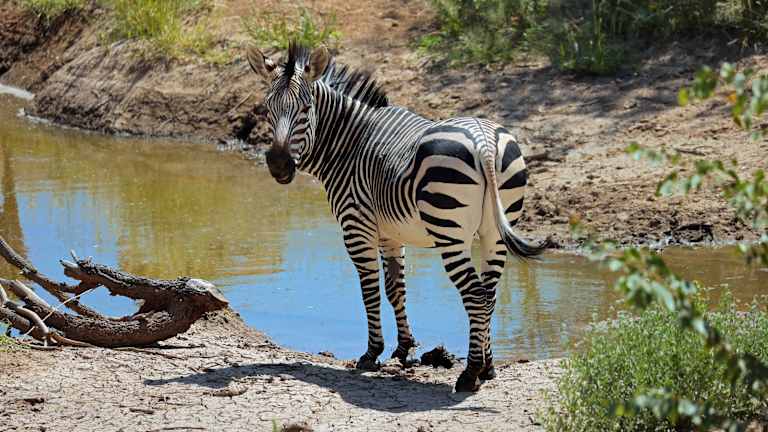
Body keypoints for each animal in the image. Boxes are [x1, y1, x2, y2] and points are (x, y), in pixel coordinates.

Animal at [246, 42, 546, 392]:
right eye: (267, 109)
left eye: (306, 109)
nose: (279, 165)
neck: (349, 143)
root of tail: (484, 143)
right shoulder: (391, 232)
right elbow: (395, 288)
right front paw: (404, 348)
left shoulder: (356, 226)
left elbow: (370, 290)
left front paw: (371, 353)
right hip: (493, 233)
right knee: (489, 294)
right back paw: (488, 368)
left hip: (450, 232)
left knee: (474, 293)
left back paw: (469, 374)